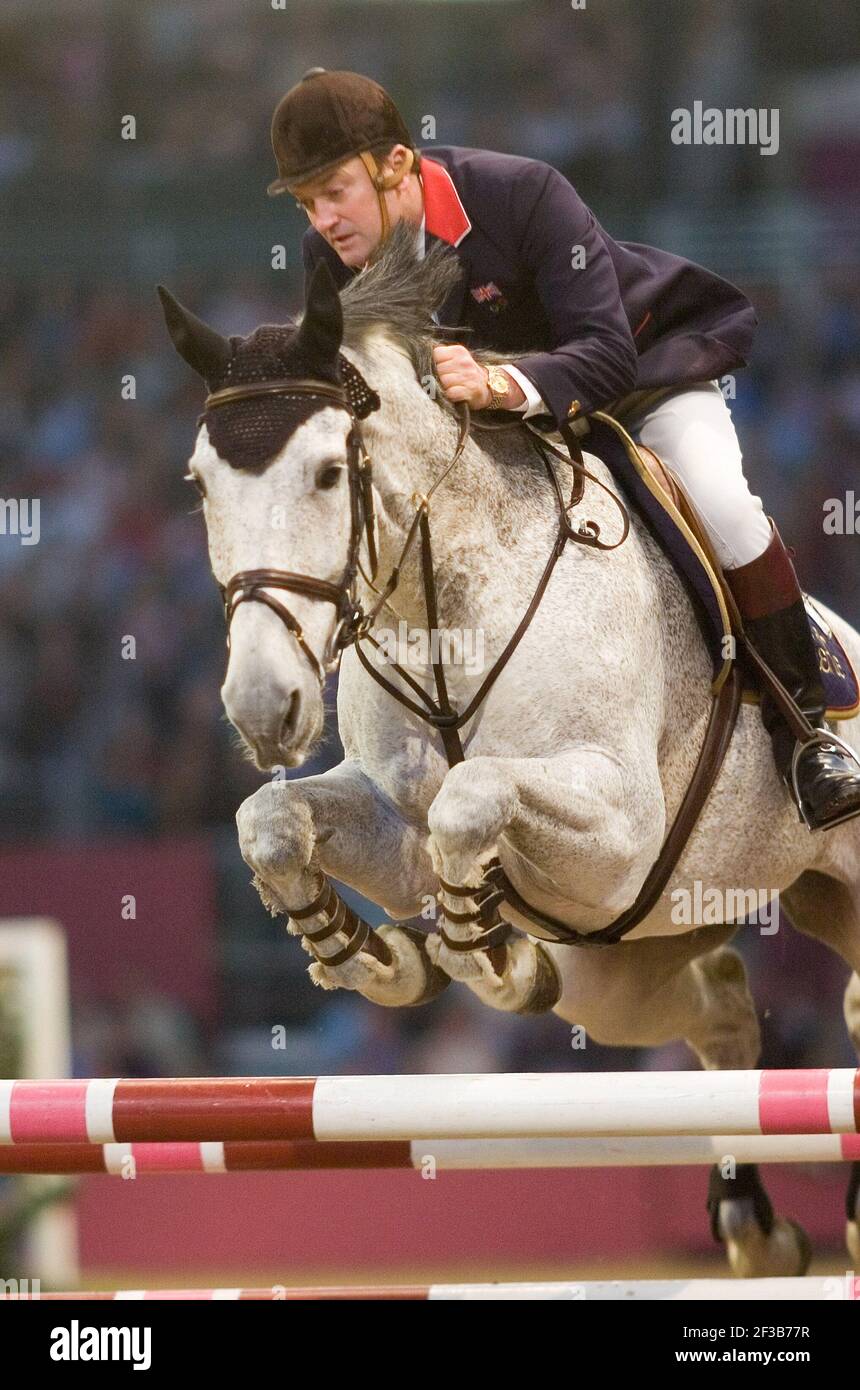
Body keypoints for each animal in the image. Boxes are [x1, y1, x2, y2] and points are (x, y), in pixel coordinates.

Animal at [161, 227, 860, 1278]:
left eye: (327, 472)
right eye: (202, 483)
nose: (260, 708)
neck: (444, 605)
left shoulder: (620, 836)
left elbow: (473, 797)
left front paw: (476, 944)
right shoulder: (402, 822)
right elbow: (274, 818)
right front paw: (375, 955)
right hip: (638, 959)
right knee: (722, 1006)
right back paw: (754, 1226)